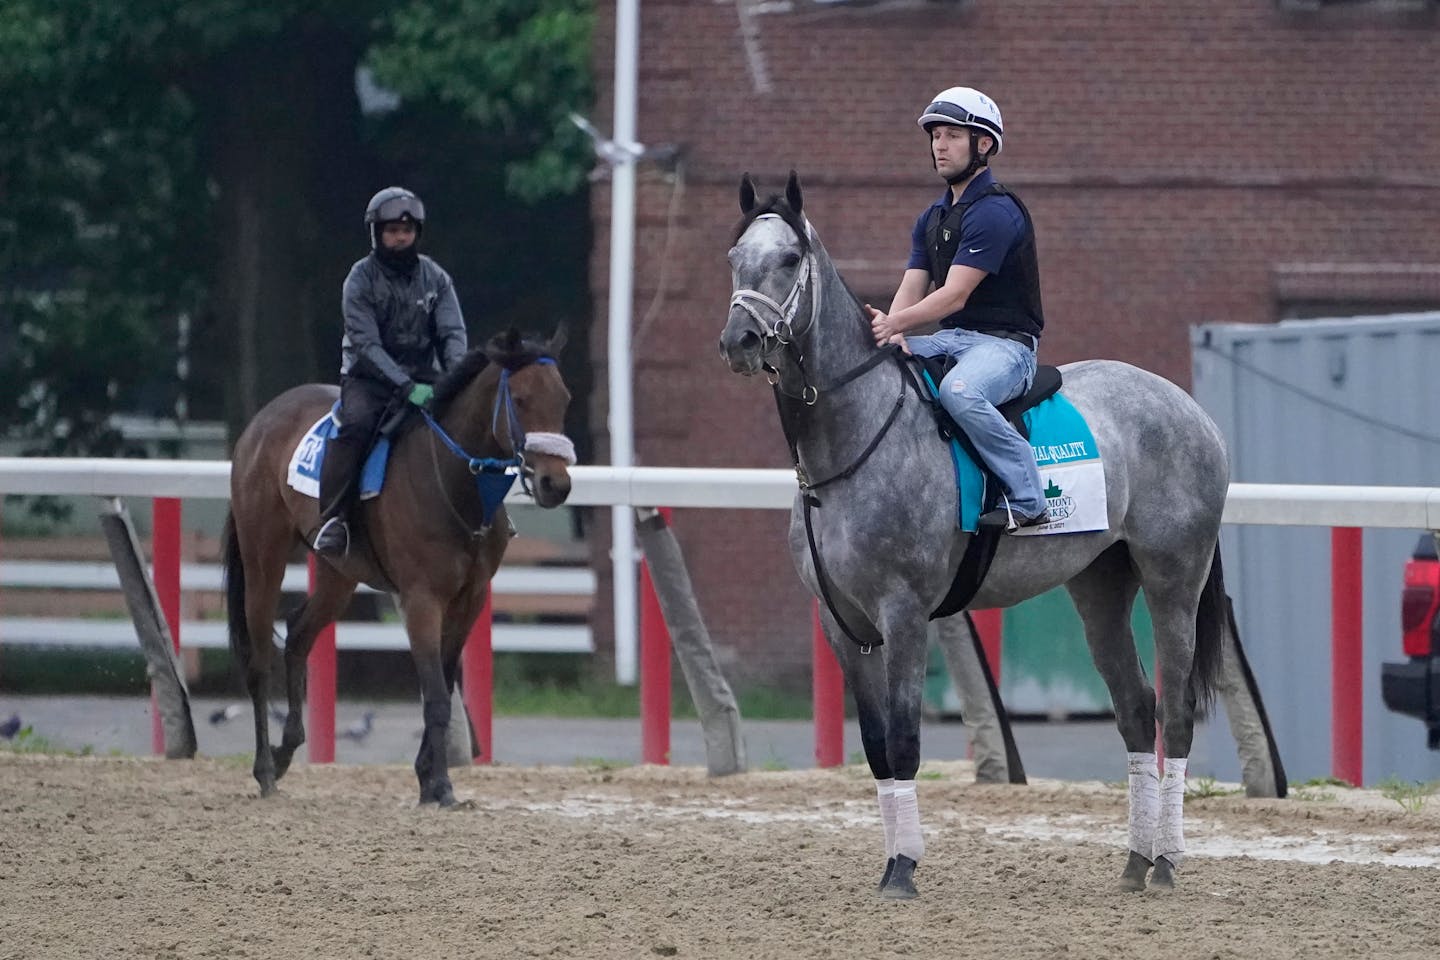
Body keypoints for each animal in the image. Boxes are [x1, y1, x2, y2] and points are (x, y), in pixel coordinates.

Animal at [221, 328, 570, 805]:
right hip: (264, 558)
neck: (453, 482)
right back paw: (265, 770)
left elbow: (443, 685)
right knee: (258, 662)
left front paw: (428, 776)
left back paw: (286, 749)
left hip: (338, 576)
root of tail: (260, 422)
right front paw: (440, 784)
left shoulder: (470, 598)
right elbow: (436, 695)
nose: (557, 484)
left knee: (297, 635)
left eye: (564, 398)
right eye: (520, 397)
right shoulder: (422, 599)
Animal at [720, 172, 1226, 903]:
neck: (854, 437)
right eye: (735, 258)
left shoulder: (903, 615)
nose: (739, 340)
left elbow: (905, 741)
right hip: (1100, 587)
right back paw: (1134, 862)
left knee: (1177, 713)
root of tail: (1190, 410)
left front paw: (904, 870)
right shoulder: (840, 624)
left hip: (1173, 580)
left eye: (789, 260)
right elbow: (876, 746)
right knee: (1136, 708)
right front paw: (889, 861)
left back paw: (1165, 863)